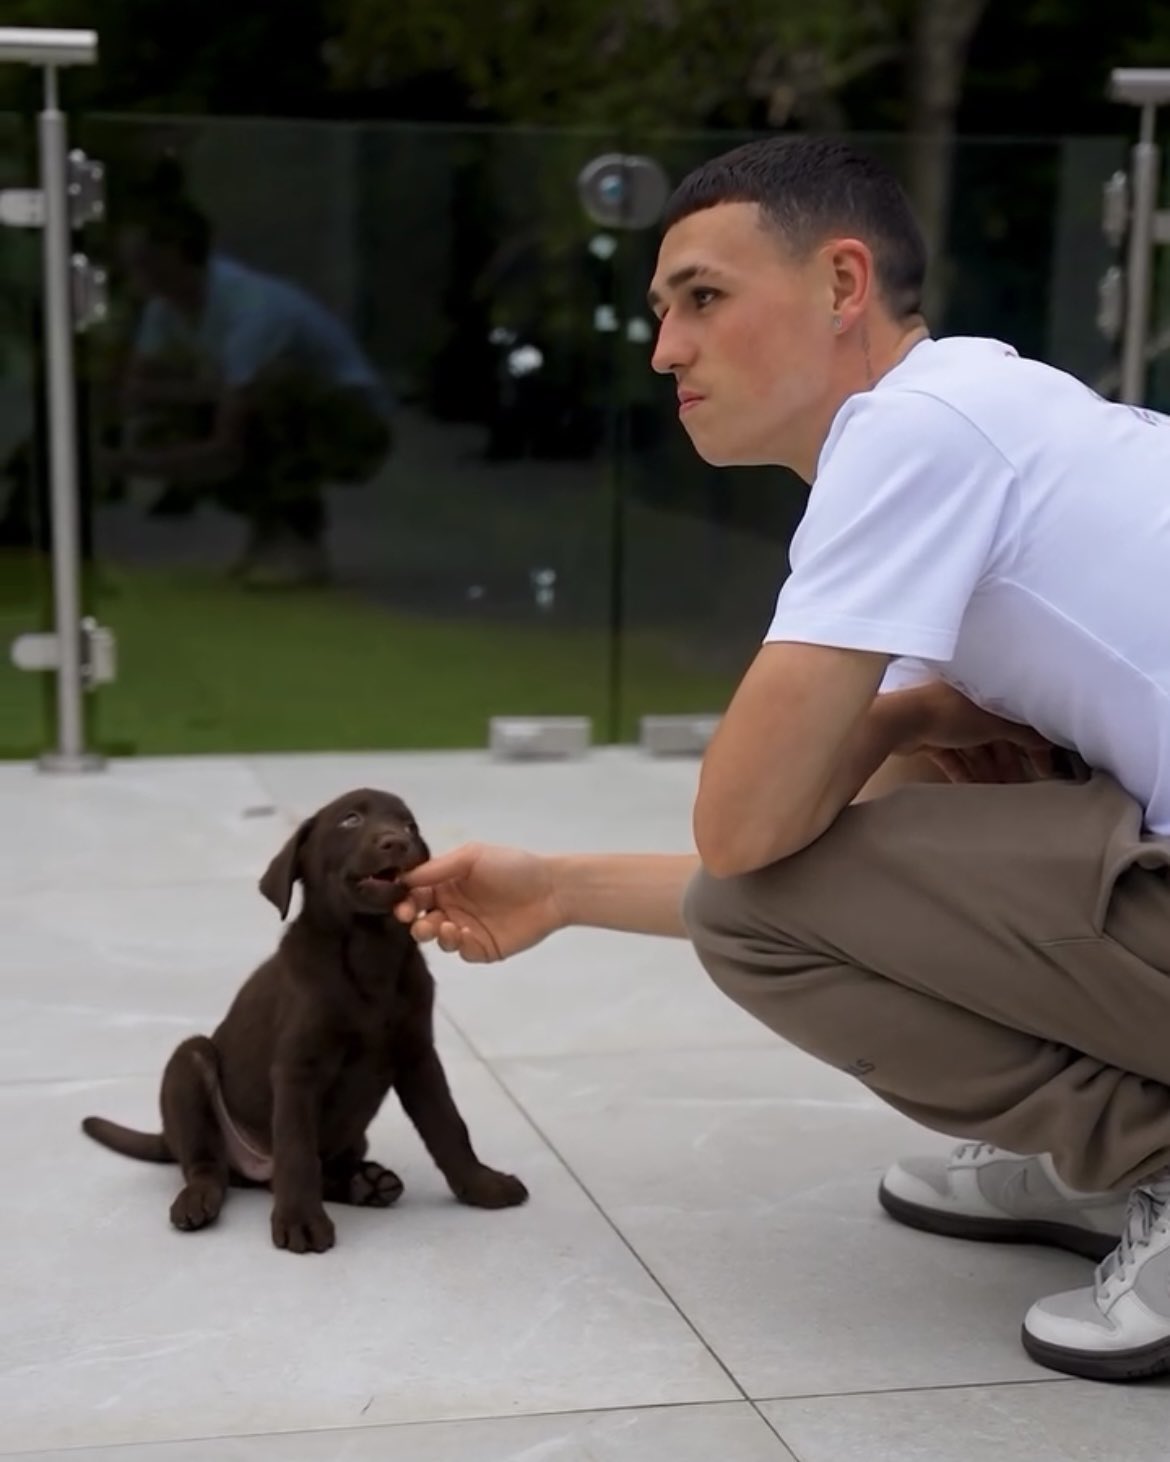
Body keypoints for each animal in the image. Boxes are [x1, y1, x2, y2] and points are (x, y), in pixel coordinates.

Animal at [78, 789, 526, 1257]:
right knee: (209, 1166)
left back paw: (366, 1184)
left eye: (410, 825)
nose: (396, 842)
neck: (370, 953)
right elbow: (296, 1150)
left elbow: (448, 1126)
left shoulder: (417, 1057)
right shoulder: (297, 1070)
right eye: (350, 820)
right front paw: (301, 1222)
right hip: (190, 1065)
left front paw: (483, 1185)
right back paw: (199, 1199)